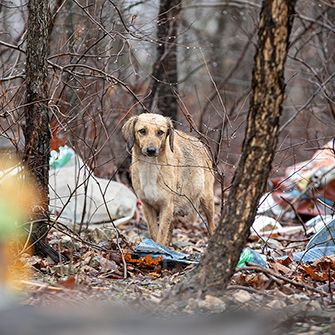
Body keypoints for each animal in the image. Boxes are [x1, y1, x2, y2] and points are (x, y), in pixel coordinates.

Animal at [122, 113, 217, 247]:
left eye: (160, 132)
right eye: (142, 131)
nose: (151, 150)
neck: (150, 167)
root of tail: (200, 143)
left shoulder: (166, 206)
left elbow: (161, 235)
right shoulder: (147, 207)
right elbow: (154, 233)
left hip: (207, 200)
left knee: (212, 226)